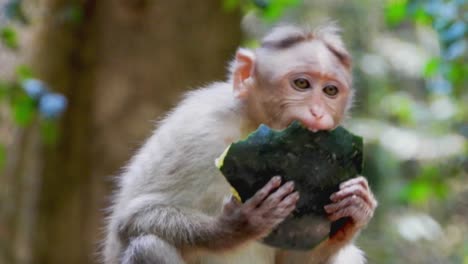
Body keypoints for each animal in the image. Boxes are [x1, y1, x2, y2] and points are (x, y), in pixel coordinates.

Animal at [102, 24, 376, 264]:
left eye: (330, 91)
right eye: (301, 84)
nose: (318, 113)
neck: (253, 124)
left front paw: (357, 208)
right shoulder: (197, 131)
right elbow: (130, 220)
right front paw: (235, 226)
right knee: (148, 245)